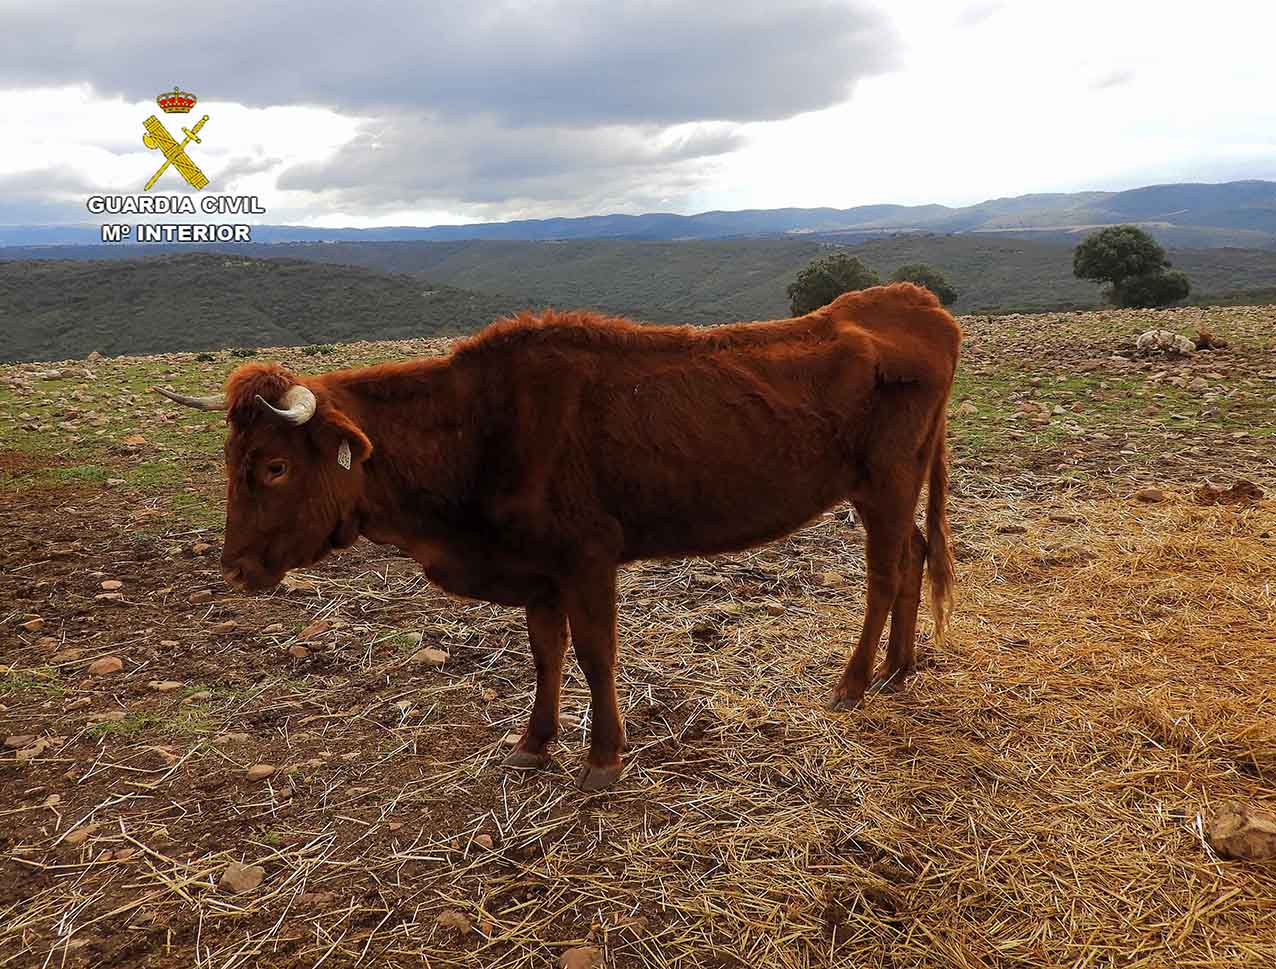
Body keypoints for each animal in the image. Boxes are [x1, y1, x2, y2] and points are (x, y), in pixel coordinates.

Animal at [156, 280, 959, 786]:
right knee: (916, 555)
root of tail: (912, 300)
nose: (234, 568)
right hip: (895, 485)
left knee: (886, 572)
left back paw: (854, 682)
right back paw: (898, 669)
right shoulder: (536, 568)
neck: (478, 429)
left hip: (886, 483)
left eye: (275, 466)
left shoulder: (587, 556)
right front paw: (532, 742)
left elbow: (596, 654)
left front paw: (603, 755)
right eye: (229, 459)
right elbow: (545, 654)